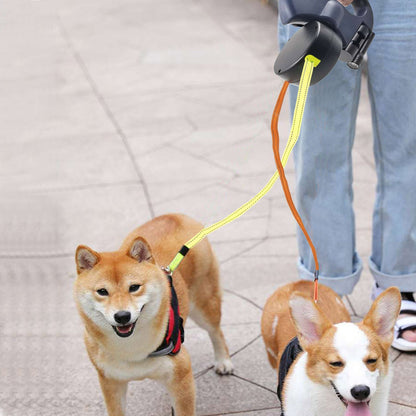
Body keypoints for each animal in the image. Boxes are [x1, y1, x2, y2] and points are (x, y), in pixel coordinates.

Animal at [73, 214, 232, 416]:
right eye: (102, 292)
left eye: (134, 287)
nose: (122, 316)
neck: (132, 349)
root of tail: (176, 216)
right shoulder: (110, 381)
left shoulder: (181, 375)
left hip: (203, 306)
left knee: (215, 331)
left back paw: (223, 361)